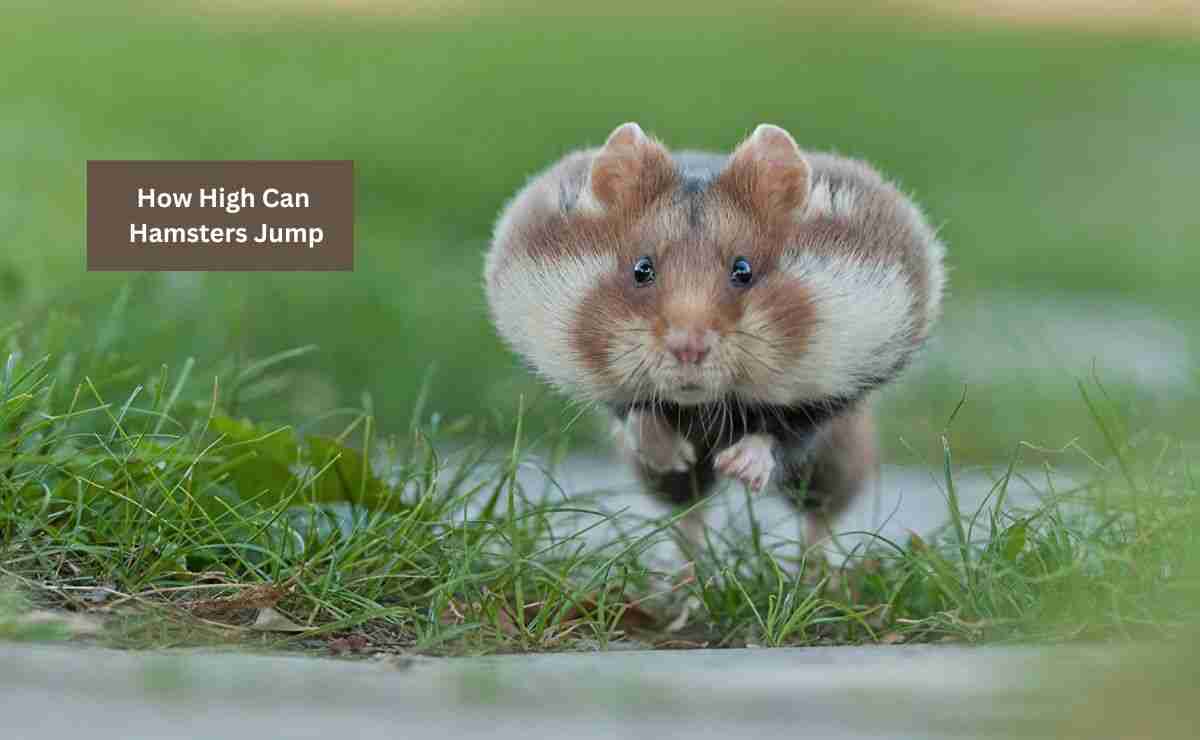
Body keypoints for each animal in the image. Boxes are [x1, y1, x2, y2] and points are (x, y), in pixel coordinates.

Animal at [485, 122, 945, 546]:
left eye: (743, 270)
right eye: (641, 269)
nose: (689, 348)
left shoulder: (830, 393)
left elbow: (782, 432)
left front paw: (737, 467)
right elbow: (636, 414)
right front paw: (675, 453)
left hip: (838, 455)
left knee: (821, 514)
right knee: (688, 510)